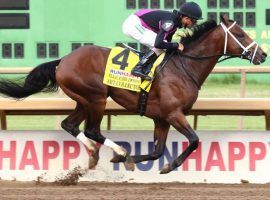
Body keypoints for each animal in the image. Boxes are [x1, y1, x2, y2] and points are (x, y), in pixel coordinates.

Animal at [0, 14, 266, 173]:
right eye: (240, 35)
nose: (262, 55)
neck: (184, 67)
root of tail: (62, 60)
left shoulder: (161, 118)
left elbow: (157, 151)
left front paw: (130, 161)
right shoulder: (174, 114)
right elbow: (193, 140)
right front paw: (168, 166)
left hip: (83, 100)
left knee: (70, 125)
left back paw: (96, 154)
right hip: (96, 98)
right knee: (92, 130)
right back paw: (118, 151)